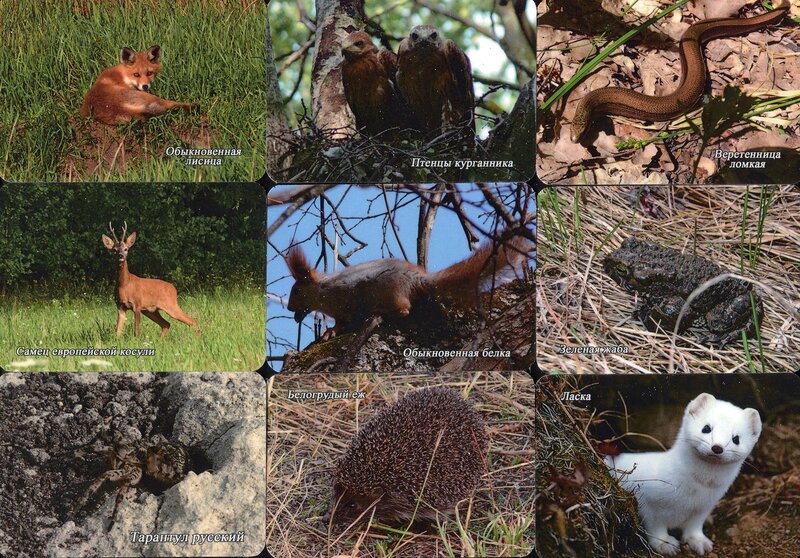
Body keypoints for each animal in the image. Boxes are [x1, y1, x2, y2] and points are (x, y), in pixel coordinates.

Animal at [284, 236, 528, 342]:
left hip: (388, 290)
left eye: (296, 291)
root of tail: (417, 280)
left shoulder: (345, 302)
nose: (289, 309)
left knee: (404, 309)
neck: (322, 291)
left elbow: (343, 322)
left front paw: (330, 332)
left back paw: (380, 313)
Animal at [608, 396, 764, 556]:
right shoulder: (647, 500)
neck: (692, 493)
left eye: (736, 438)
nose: (717, 447)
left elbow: (694, 526)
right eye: (706, 428)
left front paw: (699, 542)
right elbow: (655, 526)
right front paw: (665, 543)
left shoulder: (704, 507)